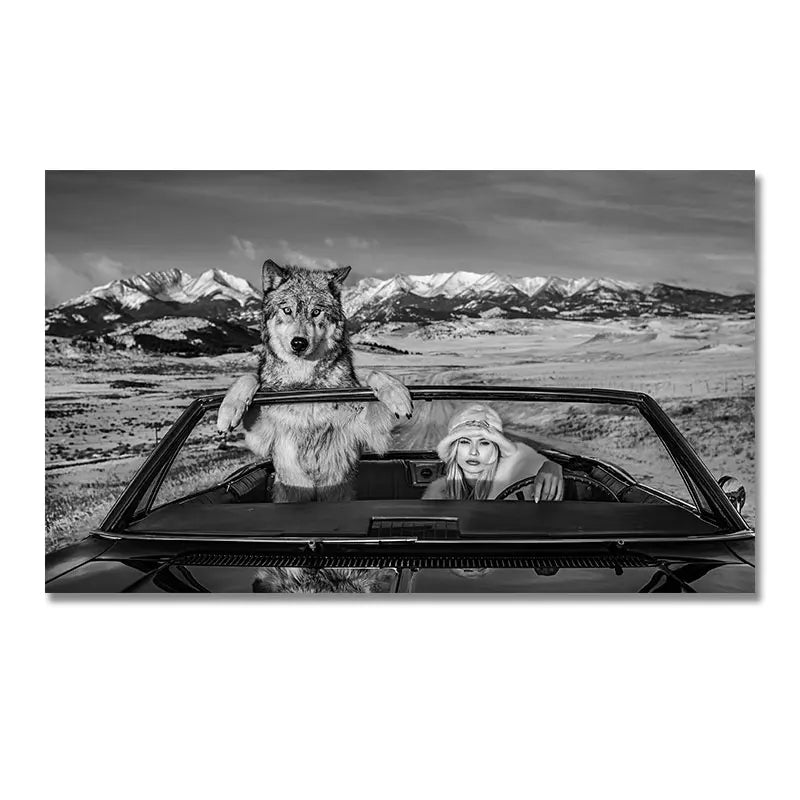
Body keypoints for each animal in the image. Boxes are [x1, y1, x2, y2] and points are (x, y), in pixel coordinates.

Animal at [217, 260, 412, 502]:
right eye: (287, 310)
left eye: (316, 312)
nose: (299, 343)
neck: (306, 385)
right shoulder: (260, 436)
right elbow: (250, 376)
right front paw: (229, 410)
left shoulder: (370, 431)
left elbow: (373, 373)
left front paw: (396, 393)